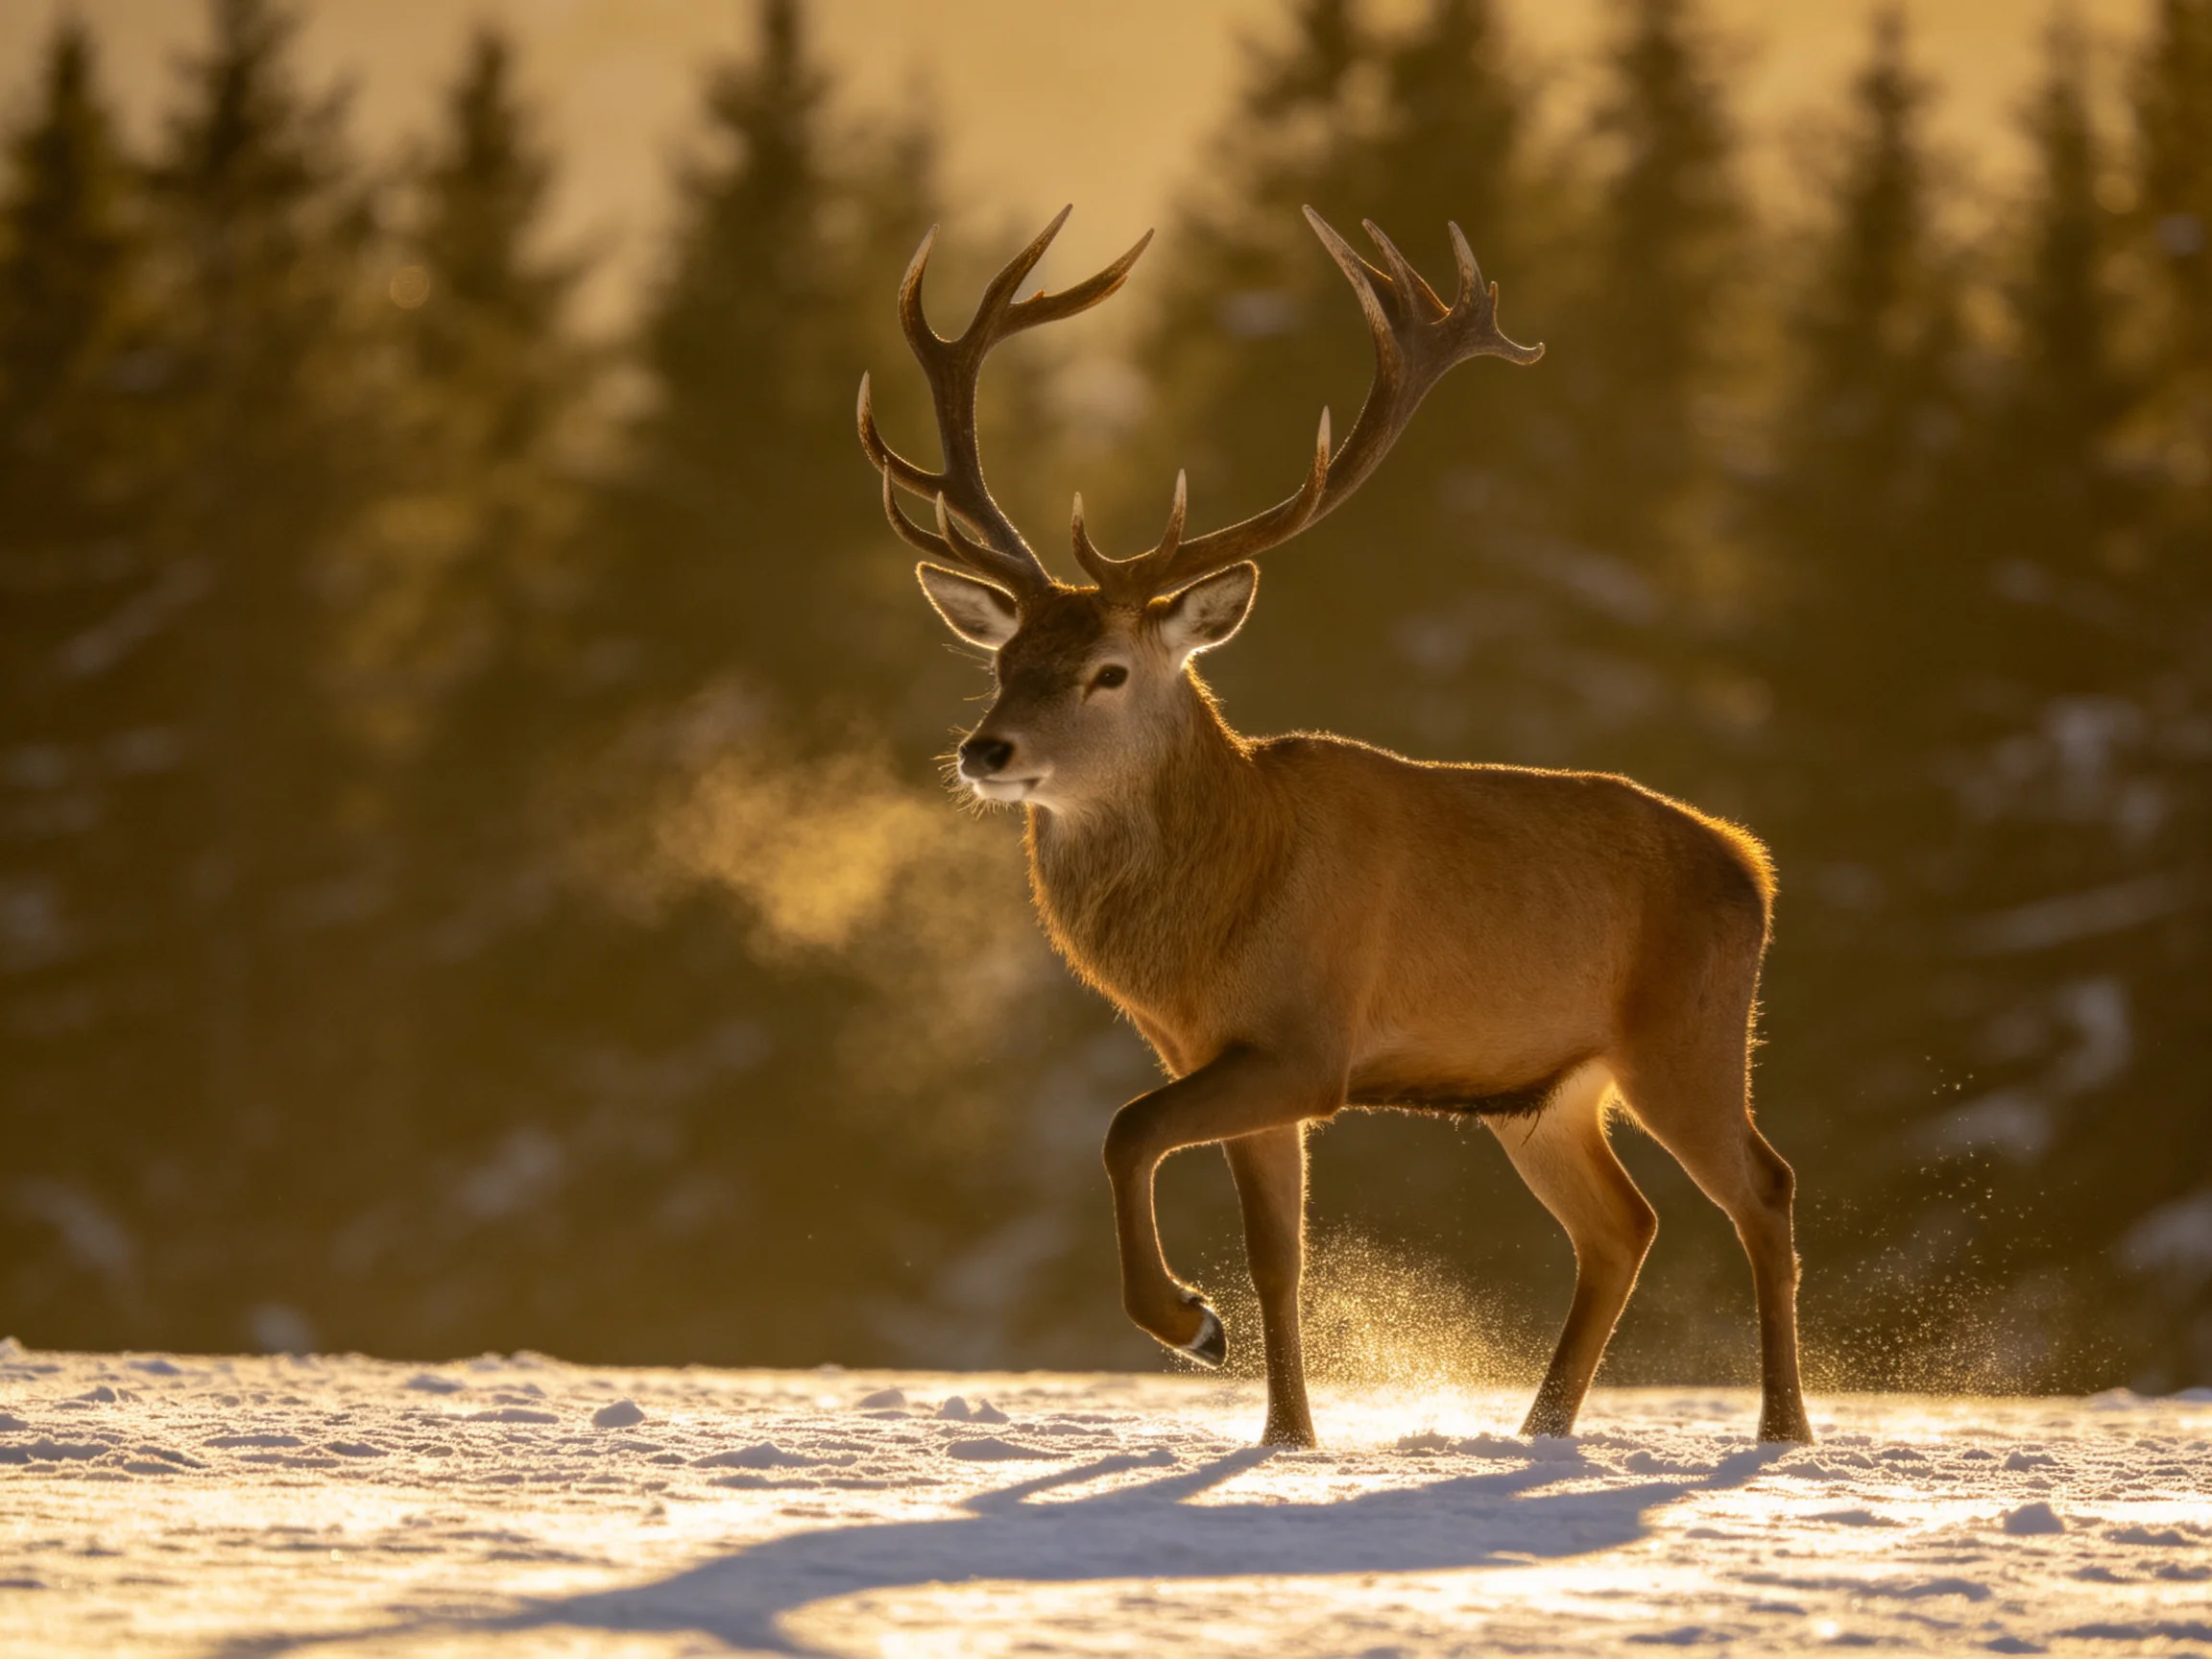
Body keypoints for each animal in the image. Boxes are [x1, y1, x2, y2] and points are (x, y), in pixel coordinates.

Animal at [855, 205, 1813, 1449]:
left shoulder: (1305, 1044)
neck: (1203, 930)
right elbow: (1277, 1256)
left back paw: (1783, 1431)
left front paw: (1188, 1325)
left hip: (1688, 1032)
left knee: (1762, 1187)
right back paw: (1541, 1430)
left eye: (1109, 670)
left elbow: (1124, 1130)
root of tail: (1751, 863)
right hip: (1540, 1091)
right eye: (1003, 660)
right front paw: (1284, 1435)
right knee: (1623, 1224)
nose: (987, 752)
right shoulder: (1216, 1054)